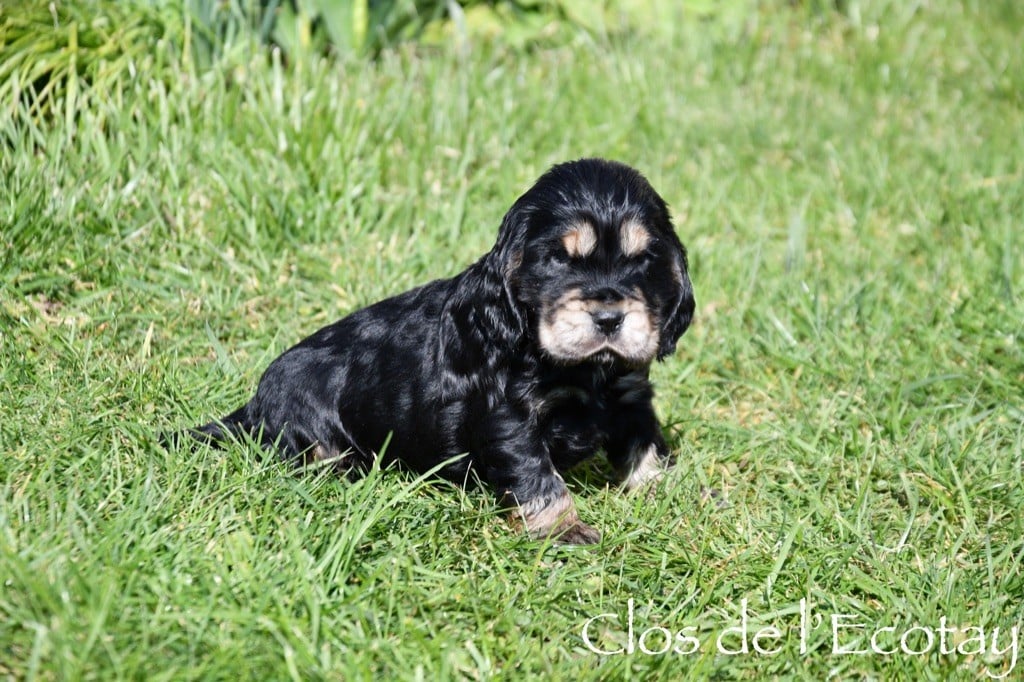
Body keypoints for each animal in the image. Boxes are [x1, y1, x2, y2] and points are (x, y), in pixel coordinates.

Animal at [179, 158, 694, 544]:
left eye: (644, 260)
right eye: (559, 260)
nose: (609, 319)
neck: (584, 371)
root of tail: (254, 404)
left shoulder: (631, 397)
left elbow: (646, 446)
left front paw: (672, 494)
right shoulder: (508, 417)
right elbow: (537, 475)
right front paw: (563, 529)